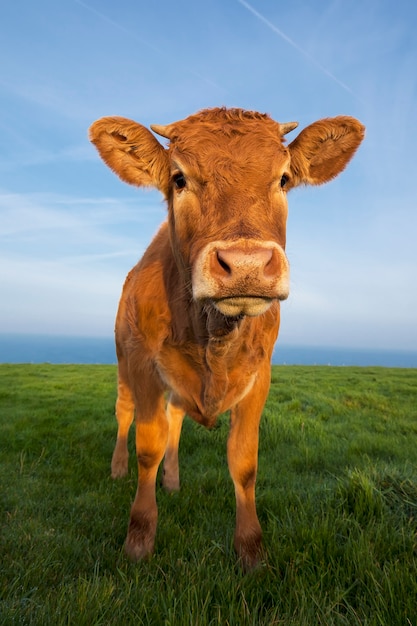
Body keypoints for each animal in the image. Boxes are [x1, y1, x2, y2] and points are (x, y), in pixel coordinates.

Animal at [89, 106, 362, 564]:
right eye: (179, 178)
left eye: (283, 178)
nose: (246, 264)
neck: (212, 333)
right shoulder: (144, 366)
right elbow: (148, 447)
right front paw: (139, 540)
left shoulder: (260, 376)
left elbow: (244, 461)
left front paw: (252, 551)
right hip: (123, 362)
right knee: (124, 414)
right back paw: (117, 469)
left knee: (175, 420)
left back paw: (173, 481)